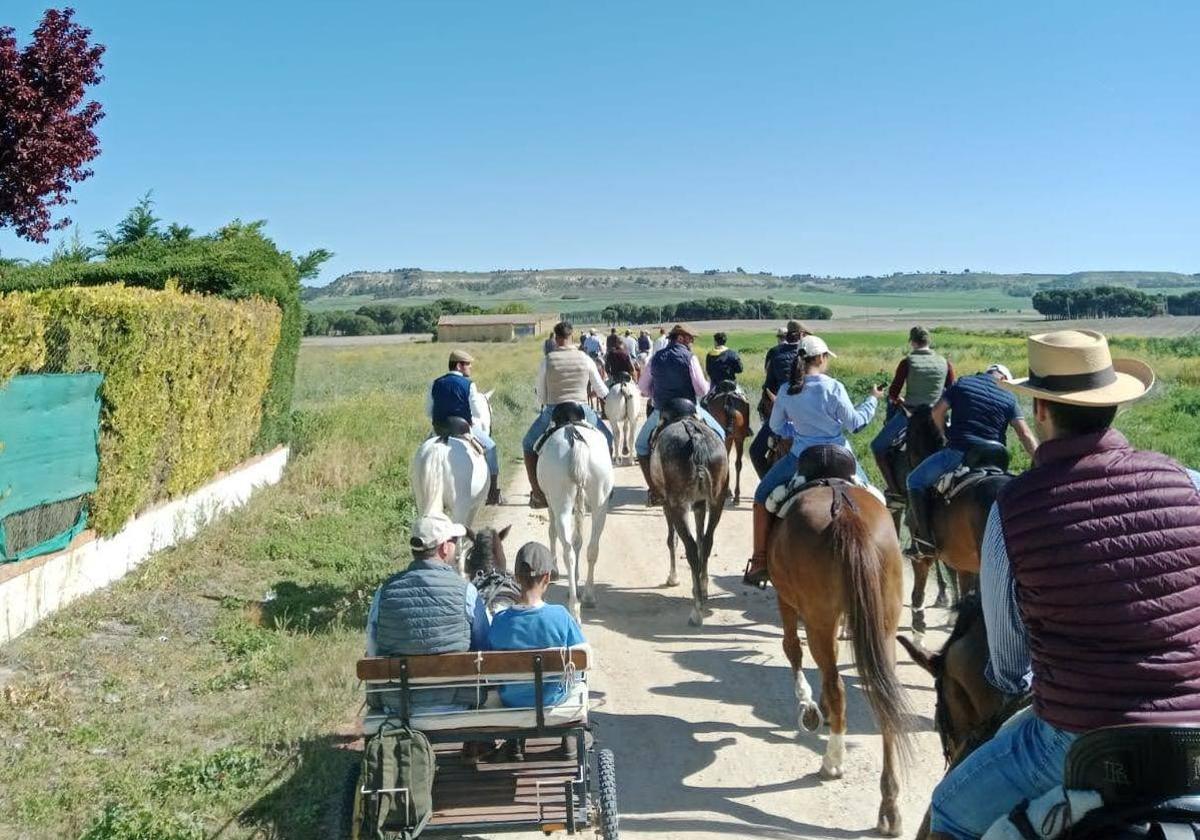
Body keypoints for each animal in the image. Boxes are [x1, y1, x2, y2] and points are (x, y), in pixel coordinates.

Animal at [537, 417, 614, 619]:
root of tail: (575, 439)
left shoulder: (549, 501)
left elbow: (552, 531)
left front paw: (554, 571)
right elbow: (578, 540)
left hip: (561, 503)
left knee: (568, 551)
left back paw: (574, 607)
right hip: (600, 503)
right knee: (592, 548)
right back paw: (587, 596)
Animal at [652, 410, 724, 628]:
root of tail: (696, 438)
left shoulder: (668, 504)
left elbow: (672, 540)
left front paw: (673, 577)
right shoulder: (700, 504)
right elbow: (701, 539)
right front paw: (701, 584)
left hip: (678, 506)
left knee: (690, 548)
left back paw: (696, 612)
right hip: (717, 500)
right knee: (706, 542)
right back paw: (702, 591)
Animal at [768, 475, 907, 835]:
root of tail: (845, 513)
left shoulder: (786, 599)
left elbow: (792, 648)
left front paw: (809, 707)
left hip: (818, 616)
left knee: (837, 685)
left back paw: (832, 762)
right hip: (883, 625)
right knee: (884, 699)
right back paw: (889, 807)